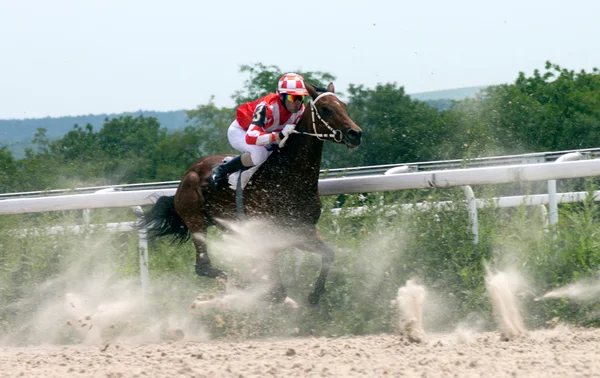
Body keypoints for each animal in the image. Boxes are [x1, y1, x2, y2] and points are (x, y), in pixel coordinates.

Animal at [137, 82, 360, 304]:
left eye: (344, 106)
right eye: (326, 108)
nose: (355, 134)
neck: (288, 178)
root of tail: (189, 173)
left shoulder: (301, 232)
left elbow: (329, 254)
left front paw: (314, 296)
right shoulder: (266, 238)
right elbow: (277, 291)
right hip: (196, 219)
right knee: (204, 267)